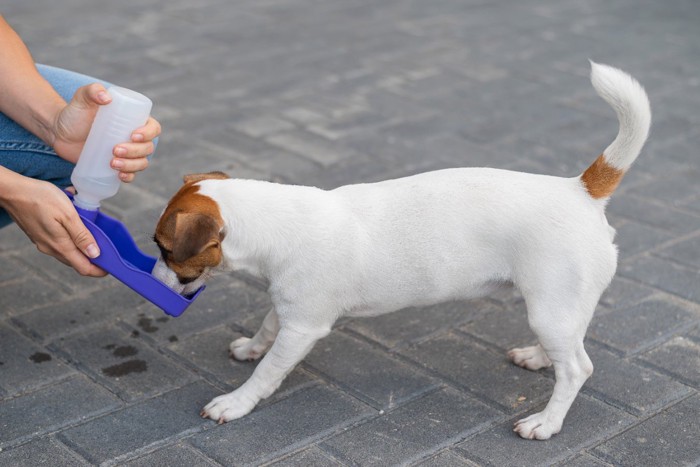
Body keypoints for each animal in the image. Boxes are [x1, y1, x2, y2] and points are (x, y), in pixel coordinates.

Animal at [153, 61, 652, 438]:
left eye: (164, 249)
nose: (153, 282)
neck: (277, 220)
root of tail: (580, 190)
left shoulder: (304, 327)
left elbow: (268, 373)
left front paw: (236, 403)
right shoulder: (288, 308)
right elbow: (266, 327)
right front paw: (251, 347)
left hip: (550, 305)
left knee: (577, 369)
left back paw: (546, 422)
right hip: (559, 307)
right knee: (570, 345)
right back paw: (537, 356)